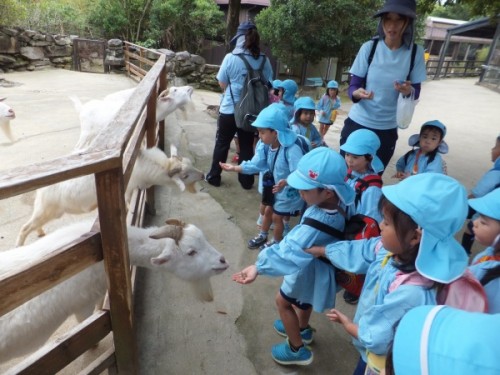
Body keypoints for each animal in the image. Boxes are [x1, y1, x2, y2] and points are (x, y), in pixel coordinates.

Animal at [16, 145, 203, 248]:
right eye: (185, 175)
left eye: (191, 164)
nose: (202, 175)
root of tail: (41, 190)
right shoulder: (127, 191)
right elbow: (127, 207)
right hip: (47, 209)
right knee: (25, 227)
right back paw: (19, 245)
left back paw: (40, 232)